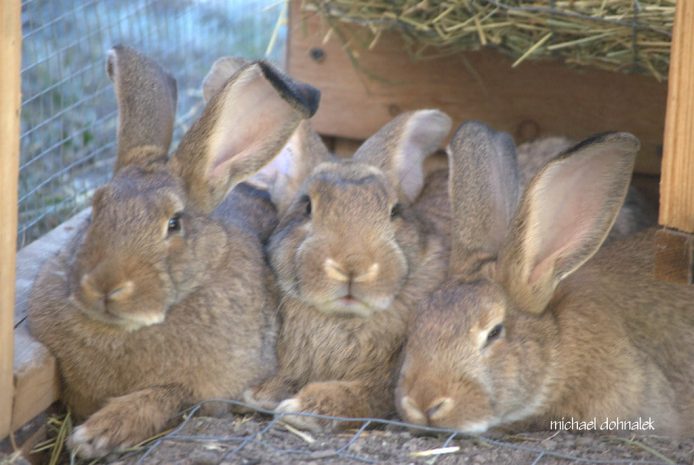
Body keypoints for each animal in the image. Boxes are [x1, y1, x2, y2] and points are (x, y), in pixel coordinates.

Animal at [27, 44, 320, 456]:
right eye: (95, 210)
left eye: (174, 223)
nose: (105, 287)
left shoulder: (208, 391)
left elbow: (166, 396)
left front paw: (96, 436)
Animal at [247, 108, 454, 428]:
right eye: (307, 207)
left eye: (395, 211)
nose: (353, 267)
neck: (343, 319)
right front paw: (264, 393)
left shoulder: (389, 387)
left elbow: (360, 395)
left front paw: (299, 408)